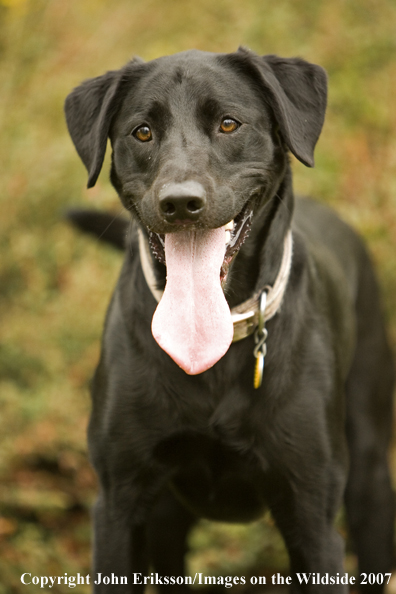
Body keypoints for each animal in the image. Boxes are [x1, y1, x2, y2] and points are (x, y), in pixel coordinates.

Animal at [64, 48, 392, 588]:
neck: (212, 351)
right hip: (166, 519)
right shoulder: (118, 505)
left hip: (368, 467)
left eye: (229, 124)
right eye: (142, 131)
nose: (179, 202)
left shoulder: (313, 518)